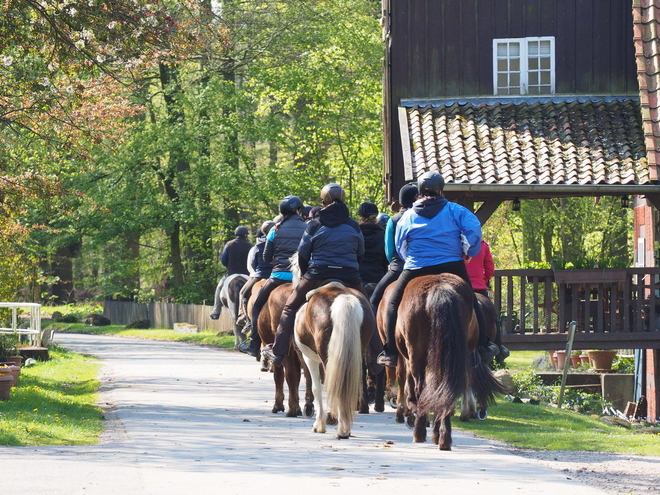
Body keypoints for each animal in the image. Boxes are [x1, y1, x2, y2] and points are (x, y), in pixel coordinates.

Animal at [246, 280, 314, 418]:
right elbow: (298, 376)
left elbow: (279, 376)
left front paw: (279, 405)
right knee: (306, 373)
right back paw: (308, 405)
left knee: (290, 373)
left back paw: (292, 409)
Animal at [296, 282, 376, 442]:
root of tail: (345, 298)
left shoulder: (309, 359)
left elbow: (316, 388)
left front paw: (320, 424)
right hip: (357, 354)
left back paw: (341, 429)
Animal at [378, 274, 502, 452]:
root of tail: (440, 288)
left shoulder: (406, 357)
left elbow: (405, 382)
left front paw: (406, 413)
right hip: (457, 354)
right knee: (453, 385)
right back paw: (445, 435)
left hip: (417, 355)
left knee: (420, 387)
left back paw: (420, 432)